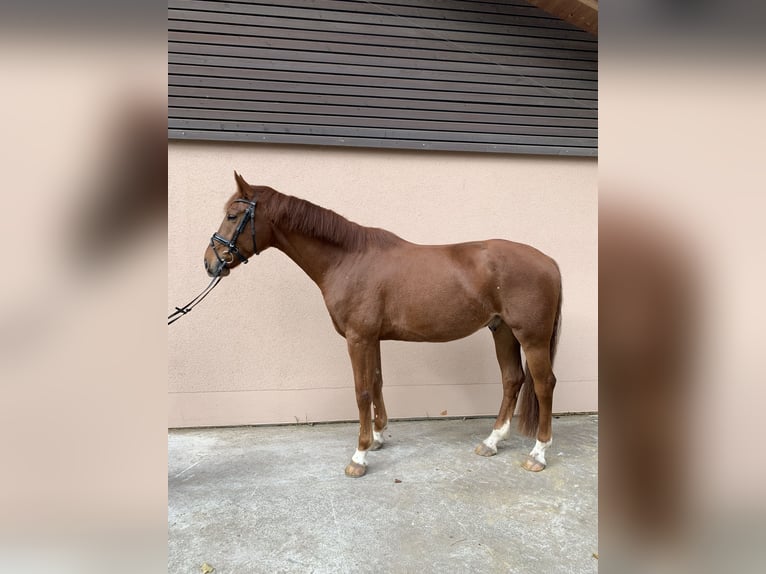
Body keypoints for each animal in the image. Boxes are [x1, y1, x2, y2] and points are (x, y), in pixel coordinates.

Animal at [204, 173, 564, 480]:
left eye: (233, 216)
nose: (210, 262)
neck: (348, 259)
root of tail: (549, 261)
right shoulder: (372, 338)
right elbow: (376, 381)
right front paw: (377, 437)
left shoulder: (358, 338)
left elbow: (362, 390)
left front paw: (359, 456)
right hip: (502, 331)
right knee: (512, 380)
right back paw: (492, 442)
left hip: (531, 337)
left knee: (544, 384)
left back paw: (538, 454)